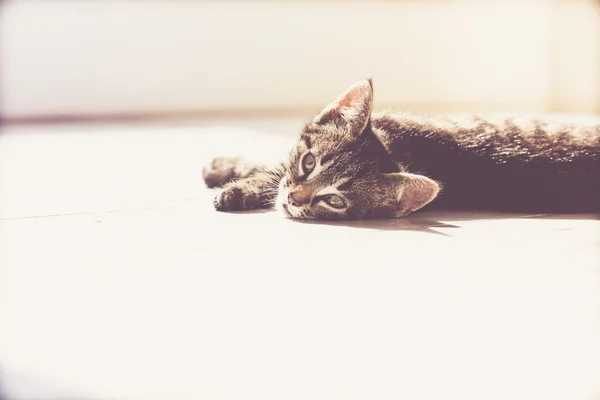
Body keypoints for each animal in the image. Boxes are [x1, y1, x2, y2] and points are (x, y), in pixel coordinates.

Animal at [203, 79, 600, 220]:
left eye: (335, 200)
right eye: (310, 161)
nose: (295, 199)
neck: (399, 144)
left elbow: (270, 172)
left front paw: (236, 186)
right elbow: (276, 166)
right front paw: (226, 167)